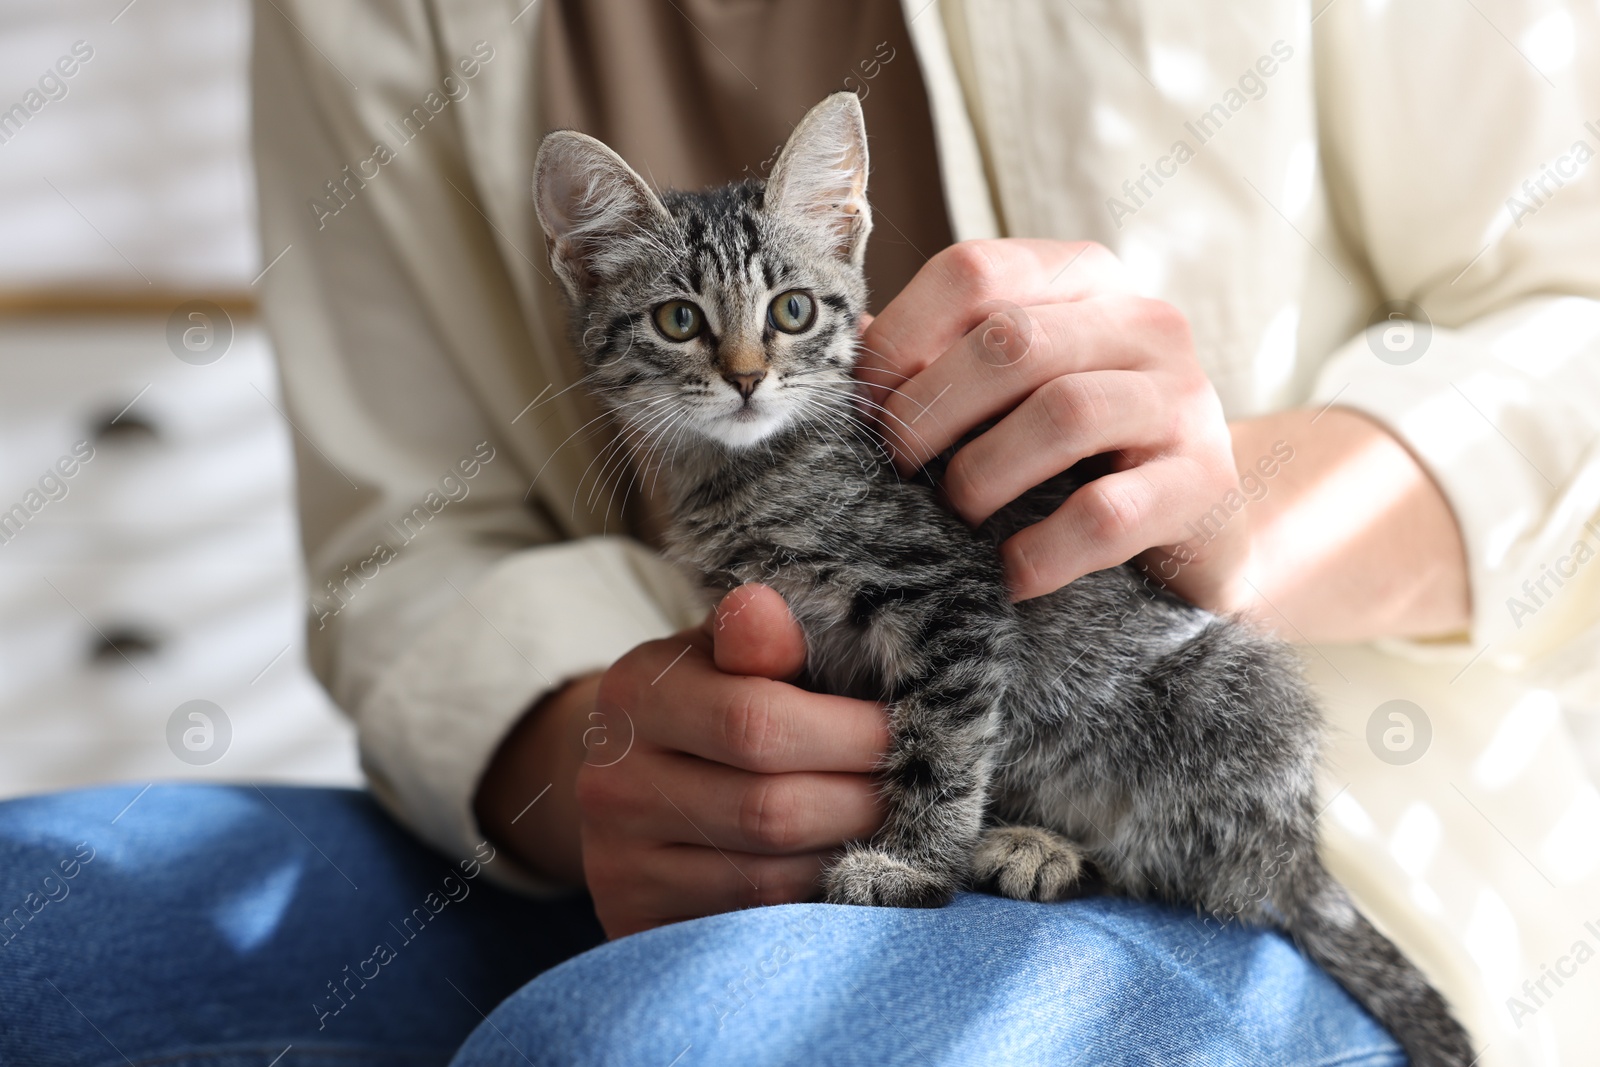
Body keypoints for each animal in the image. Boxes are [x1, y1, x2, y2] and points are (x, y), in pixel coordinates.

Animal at [534, 93, 1472, 1067]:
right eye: (678, 321)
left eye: (792, 310)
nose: (748, 378)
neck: (753, 473)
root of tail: (1302, 848)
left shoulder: (953, 591)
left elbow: (942, 740)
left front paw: (911, 863)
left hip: (1238, 695)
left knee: (1196, 873)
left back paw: (1042, 847)